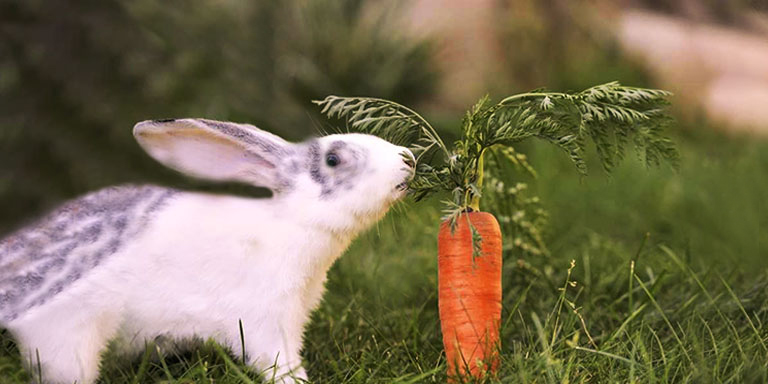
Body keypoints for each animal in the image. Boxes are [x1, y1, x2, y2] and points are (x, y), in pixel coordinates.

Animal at [0, 118, 414, 382]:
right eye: (333, 159)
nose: (408, 159)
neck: (288, 225)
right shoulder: (266, 323)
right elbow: (280, 365)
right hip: (68, 337)